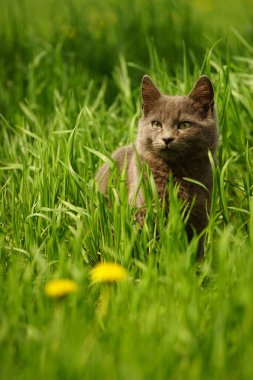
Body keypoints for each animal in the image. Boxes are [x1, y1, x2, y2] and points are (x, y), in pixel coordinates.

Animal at [96, 75, 218, 256]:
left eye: (184, 125)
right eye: (156, 124)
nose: (167, 138)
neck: (176, 172)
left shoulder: (199, 214)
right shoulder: (144, 210)